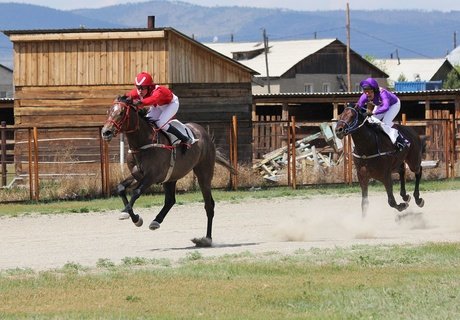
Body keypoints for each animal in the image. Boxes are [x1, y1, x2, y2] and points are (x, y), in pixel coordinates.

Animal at [102, 96, 235, 246]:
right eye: (108, 111)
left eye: (121, 113)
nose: (106, 132)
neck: (143, 143)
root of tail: (203, 133)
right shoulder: (137, 175)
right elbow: (120, 188)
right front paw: (133, 216)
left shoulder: (152, 176)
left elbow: (136, 192)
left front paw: (131, 215)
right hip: (171, 177)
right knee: (170, 200)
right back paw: (156, 221)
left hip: (204, 174)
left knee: (209, 205)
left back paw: (206, 239)